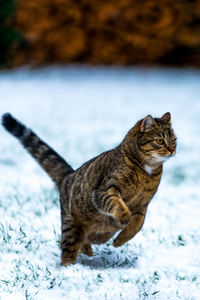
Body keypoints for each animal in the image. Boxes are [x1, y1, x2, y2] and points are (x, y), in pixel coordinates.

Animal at [1, 112, 177, 264]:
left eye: (174, 140)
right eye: (160, 141)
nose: (172, 150)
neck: (146, 172)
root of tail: (68, 176)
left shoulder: (142, 204)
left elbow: (137, 225)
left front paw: (120, 240)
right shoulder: (105, 190)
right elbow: (116, 203)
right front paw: (124, 215)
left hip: (100, 234)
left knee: (86, 241)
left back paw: (88, 251)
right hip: (70, 226)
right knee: (68, 250)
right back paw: (70, 269)